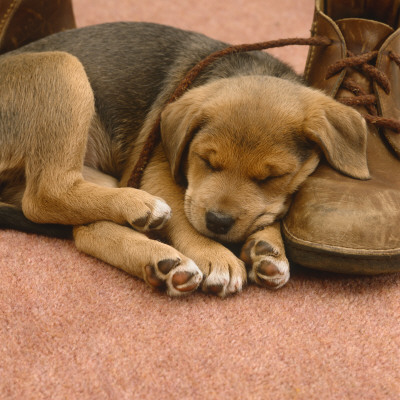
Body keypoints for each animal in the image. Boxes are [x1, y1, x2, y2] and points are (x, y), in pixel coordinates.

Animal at [0, 21, 368, 296]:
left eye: (271, 177)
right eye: (206, 161)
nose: (218, 222)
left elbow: (267, 211)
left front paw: (268, 247)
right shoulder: (156, 166)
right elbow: (182, 212)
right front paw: (214, 255)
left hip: (100, 175)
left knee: (85, 228)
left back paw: (164, 264)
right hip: (60, 67)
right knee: (47, 195)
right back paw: (145, 214)